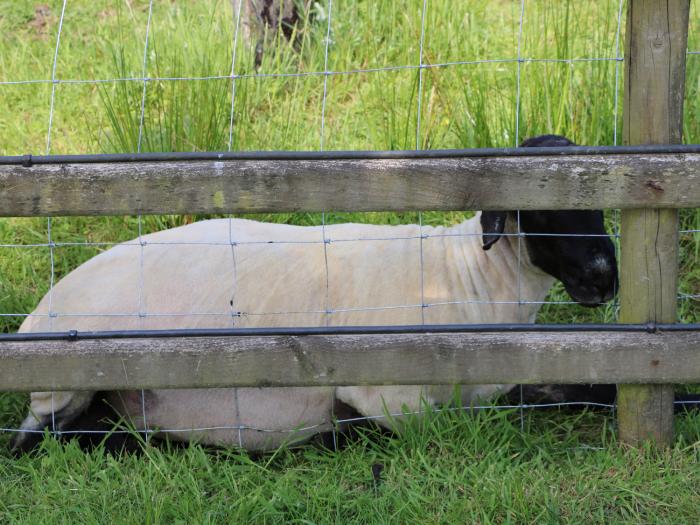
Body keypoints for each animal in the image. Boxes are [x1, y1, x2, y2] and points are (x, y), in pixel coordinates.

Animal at [10, 134, 616, 450]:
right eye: (542, 209)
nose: (605, 276)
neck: (471, 277)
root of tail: (34, 317)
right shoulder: (387, 395)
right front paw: (337, 433)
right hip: (68, 386)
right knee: (42, 439)